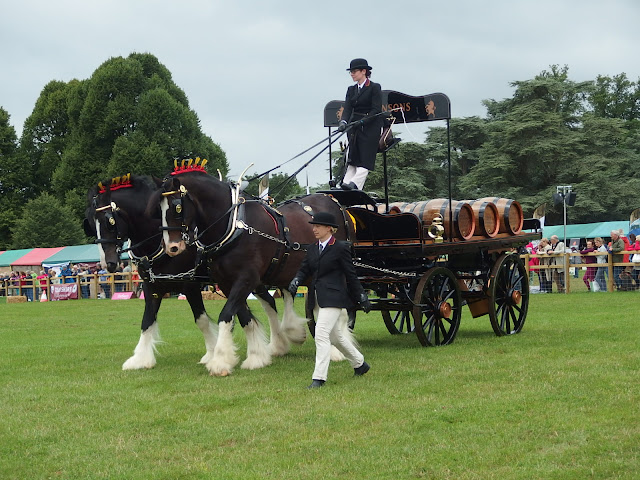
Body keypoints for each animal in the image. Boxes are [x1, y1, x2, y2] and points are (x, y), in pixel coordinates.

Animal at [156, 163, 356, 376]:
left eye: (177, 207)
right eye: (158, 208)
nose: (172, 247)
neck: (234, 226)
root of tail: (333, 201)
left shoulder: (247, 278)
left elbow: (226, 315)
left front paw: (220, 361)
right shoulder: (227, 283)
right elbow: (243, 317)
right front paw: (255, 357)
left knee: (340, 309)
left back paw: (338, 348)